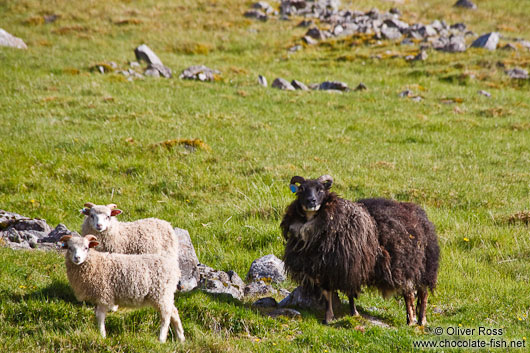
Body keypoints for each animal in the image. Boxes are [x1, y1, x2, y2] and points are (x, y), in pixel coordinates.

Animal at [280, 175, 438, 326]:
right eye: (301, 189)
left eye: (320, 189)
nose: (311, 201)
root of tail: (422, 217)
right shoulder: (324, 268)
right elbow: (327, 294)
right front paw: (328, 318)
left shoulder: (351, 265)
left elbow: (350, 292)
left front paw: (354, 313)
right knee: (411, 294)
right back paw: (413, 320)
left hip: (419, 268)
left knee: (419, 294)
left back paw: (417, 321)